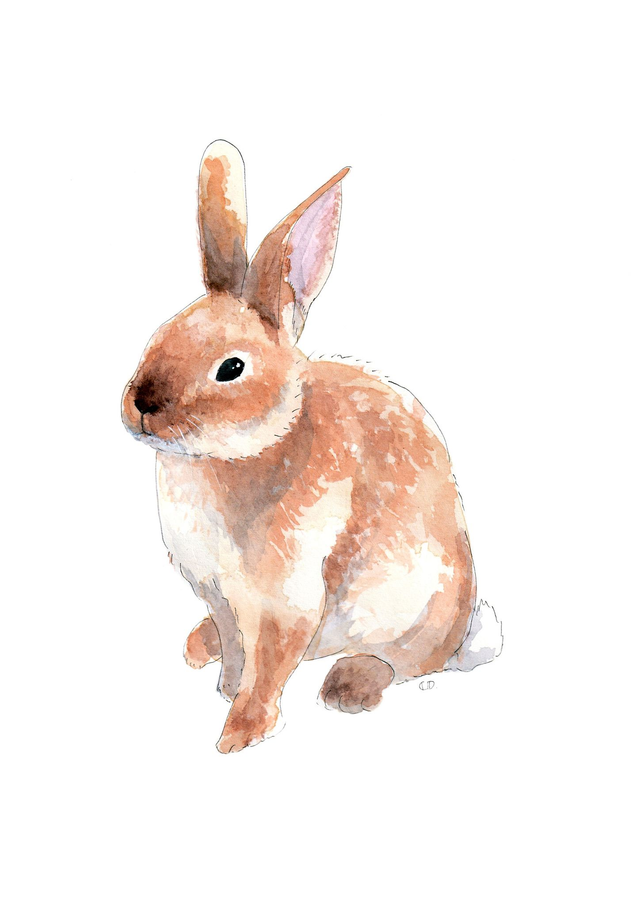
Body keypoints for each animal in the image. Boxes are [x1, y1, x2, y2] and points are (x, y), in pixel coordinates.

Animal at [121, 141, 502, 754]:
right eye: (159, 334)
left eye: (231, 368)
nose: (141, 405)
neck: (242, 450)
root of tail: (467, 627)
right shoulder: (217, 592)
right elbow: (237, 648)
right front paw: (225, 689)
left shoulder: (286, 601)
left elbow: (269, 666)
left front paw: (239, 734)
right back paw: (199, 646)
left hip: (416, 607)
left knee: (408, 663)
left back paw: (349, 687)